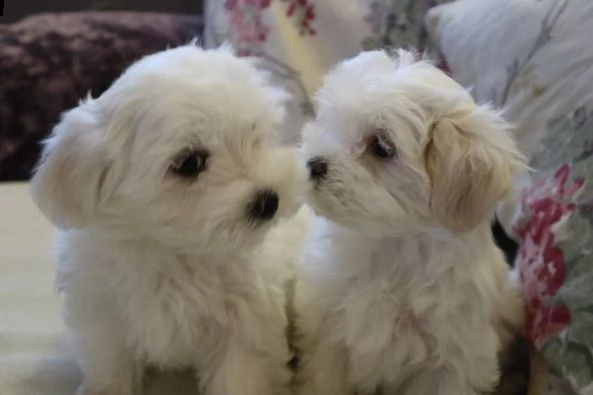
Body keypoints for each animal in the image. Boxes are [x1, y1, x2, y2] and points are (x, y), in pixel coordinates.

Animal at [31, 44, 310, 395]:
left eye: (254, 135)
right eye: (189, 163)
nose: (268, 200)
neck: (175, 252)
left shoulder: (245, 323)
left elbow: (239, 374)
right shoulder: (103, 311)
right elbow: (111, 362)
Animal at [296, 49, 528, 395]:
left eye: (381, 147)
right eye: (329, 124)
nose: (313, 164)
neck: (392, 245)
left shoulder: (453, 359)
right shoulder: (327, 333)